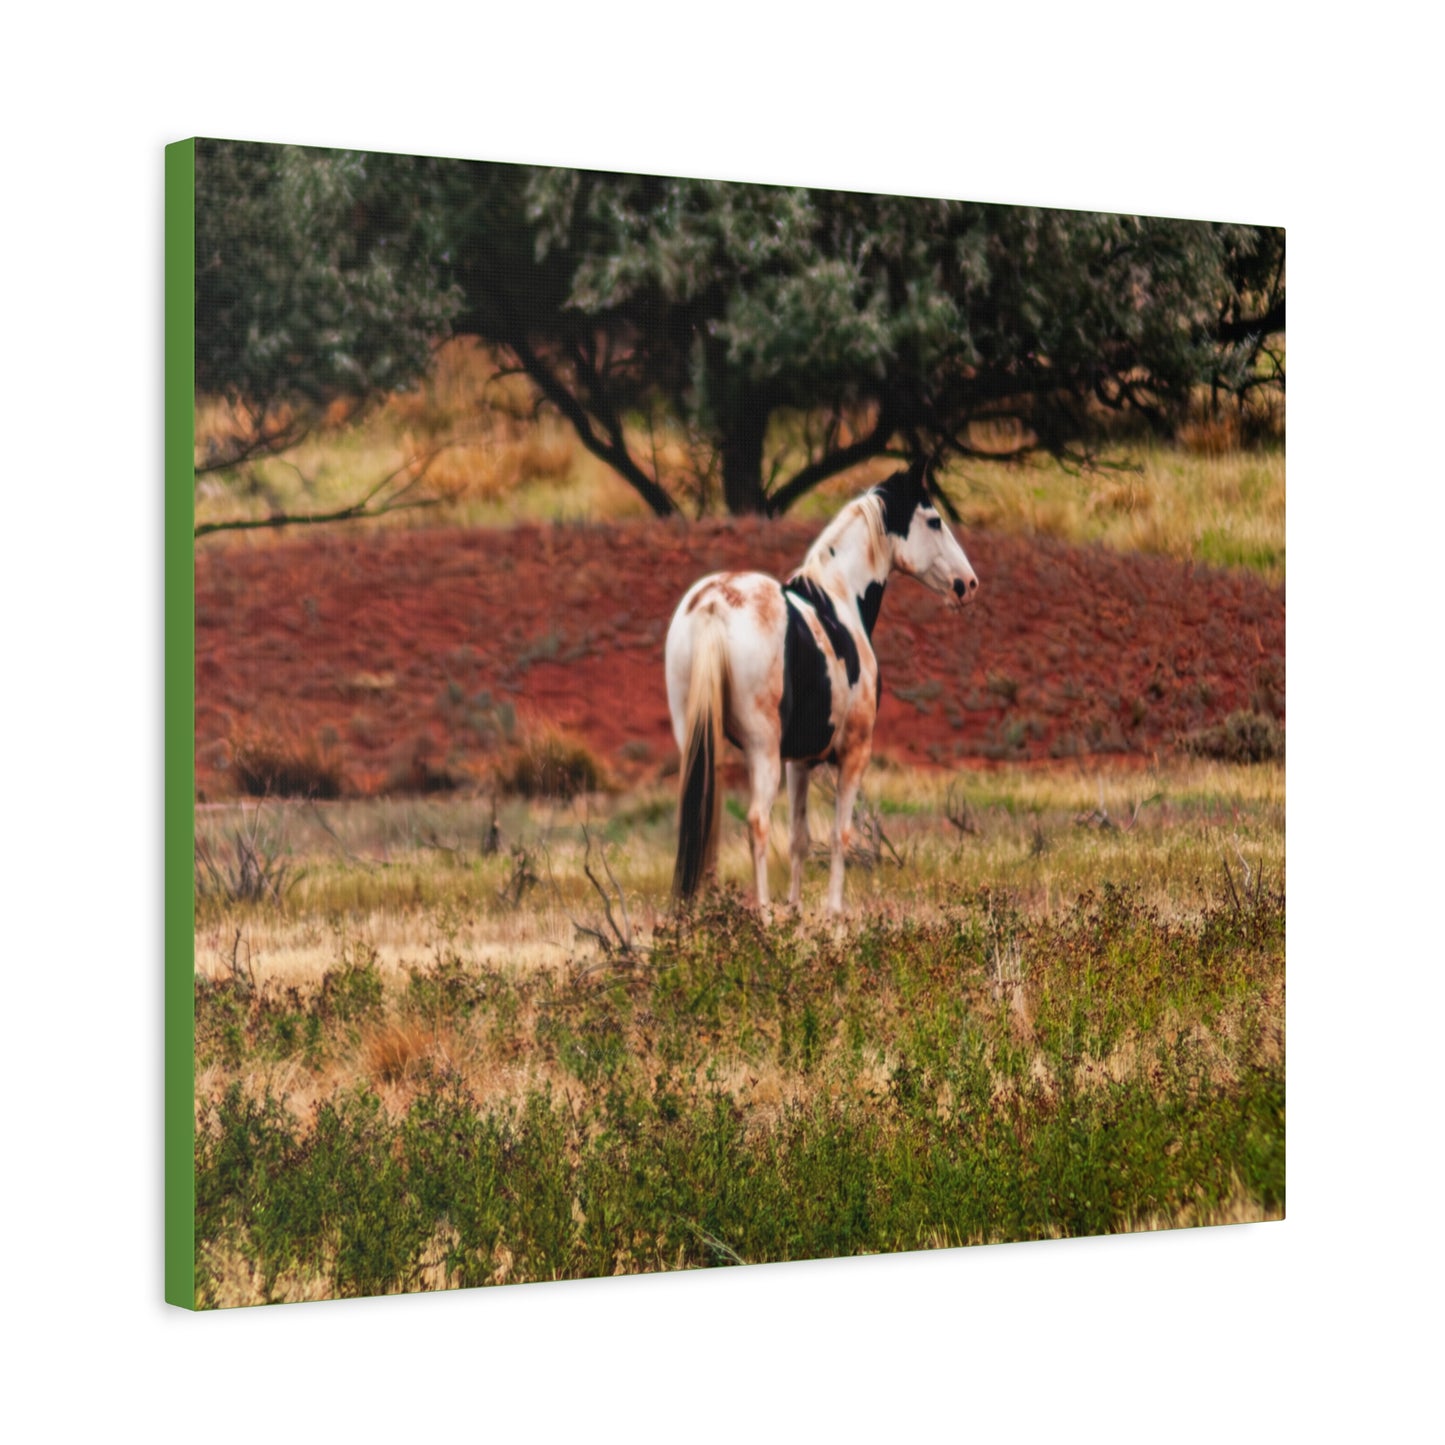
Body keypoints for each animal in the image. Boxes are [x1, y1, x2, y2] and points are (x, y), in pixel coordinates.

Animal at [664, 458, 979, 915]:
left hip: (699, 738)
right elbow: (839, 835)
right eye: (934, 520)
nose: (968, 585)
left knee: (706, 816)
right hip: (761, 749)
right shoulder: (852, 754)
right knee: (757, 822)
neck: (838, 598)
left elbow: (799, 839)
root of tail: (713, 605)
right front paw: (833, 914)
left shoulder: (798, 761)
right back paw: (763, 915)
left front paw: (796, 912)